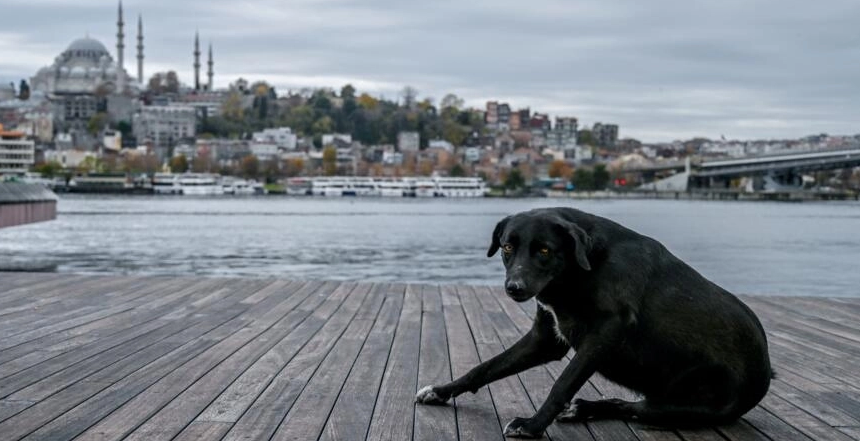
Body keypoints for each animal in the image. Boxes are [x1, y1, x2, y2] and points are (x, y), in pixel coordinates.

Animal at [416, 206, 772, 436]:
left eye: (544, 250)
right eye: (506, 247)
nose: (514, 287)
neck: (580, 270)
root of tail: (766, 371)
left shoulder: (604, 334)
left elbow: (562, 383)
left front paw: (532, 425)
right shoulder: (545, 340)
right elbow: (485, 367)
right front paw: (441, 391)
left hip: (684, 404)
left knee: (635, 408)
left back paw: (585, 409)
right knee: (628, 404)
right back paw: (583, 409)